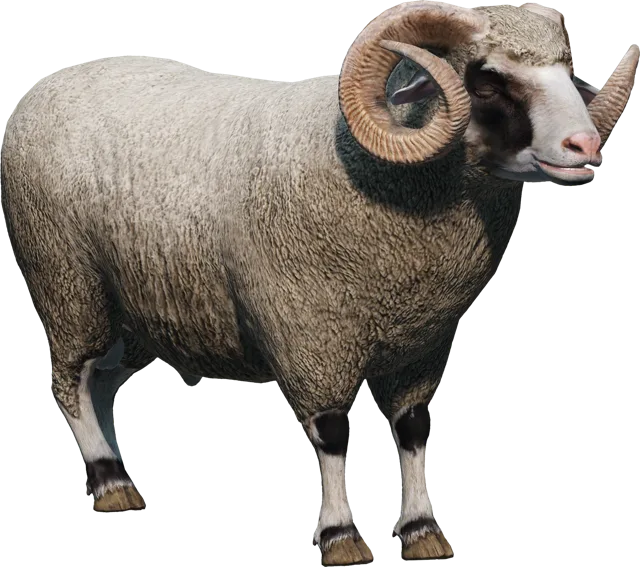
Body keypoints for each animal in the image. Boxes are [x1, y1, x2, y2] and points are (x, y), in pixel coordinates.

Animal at [2, 0, 637, 562]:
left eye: (565, 69)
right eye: (484, 81)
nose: (585, 147)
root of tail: (52, 82)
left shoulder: (423, 346)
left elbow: (415, 430)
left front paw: (423, 531)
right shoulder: (311, 335)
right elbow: (332, 434)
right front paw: (340, 537)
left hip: (133, 313)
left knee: (102, 383)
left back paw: (117, 470)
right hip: (68, 279)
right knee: (69, 380)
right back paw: (109, 483)